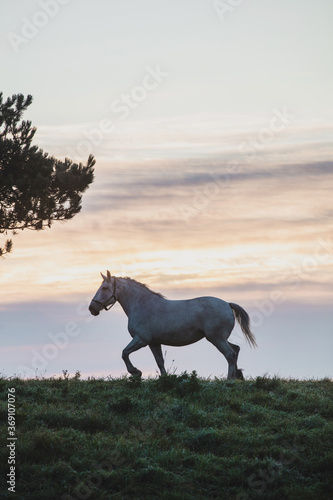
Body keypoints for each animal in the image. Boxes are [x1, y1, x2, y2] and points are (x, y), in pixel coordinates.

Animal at [87, 270, 255, 378]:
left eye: (104, 288)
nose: (92, 308)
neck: (142, 305)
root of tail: (227, 304)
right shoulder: (154, 343)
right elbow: (160, 362)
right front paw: (164, 379)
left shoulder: (141, 339)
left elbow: (124, 353)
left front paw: (136, 372)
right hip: (220, 338)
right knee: (236, 350)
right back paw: (237, 376)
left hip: (216, 339)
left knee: (230, 354)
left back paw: (229, 380)